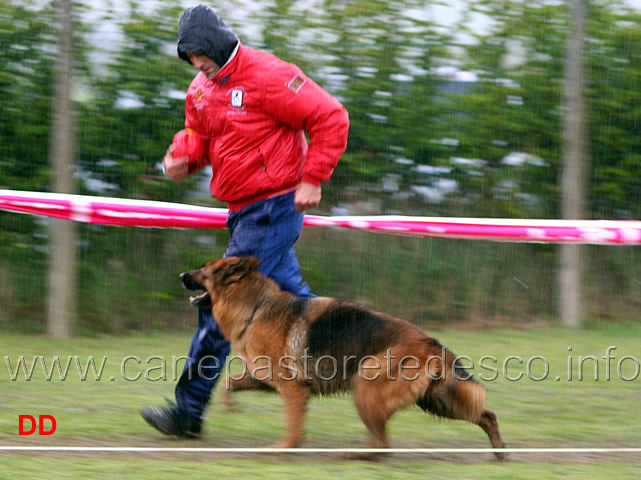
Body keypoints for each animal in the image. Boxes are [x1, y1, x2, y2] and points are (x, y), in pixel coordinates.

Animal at [179, 256, 504, 460]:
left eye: (203, 270)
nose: (182, 275)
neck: (256, 307)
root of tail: (431, 342)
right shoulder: (266, 380)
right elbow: (229, 383)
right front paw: (231, 407)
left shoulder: (293, 389)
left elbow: (293, 425)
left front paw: (285, 447)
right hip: (437, 400)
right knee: (487, 414)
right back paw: (499, 449)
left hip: (367, 387)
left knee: (383, 444)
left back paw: (355, 454)